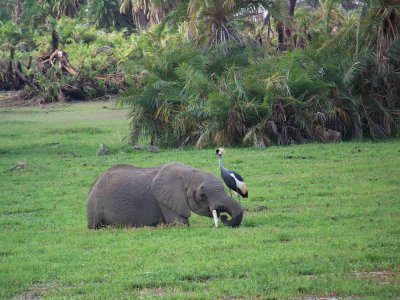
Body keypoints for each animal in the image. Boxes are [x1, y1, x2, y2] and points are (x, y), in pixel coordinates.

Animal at [86, 163, 244, 229]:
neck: (188, 173)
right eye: (203, 195)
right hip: (95, 206)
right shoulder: (164, 200)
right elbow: (179, 224)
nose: (224, 217)